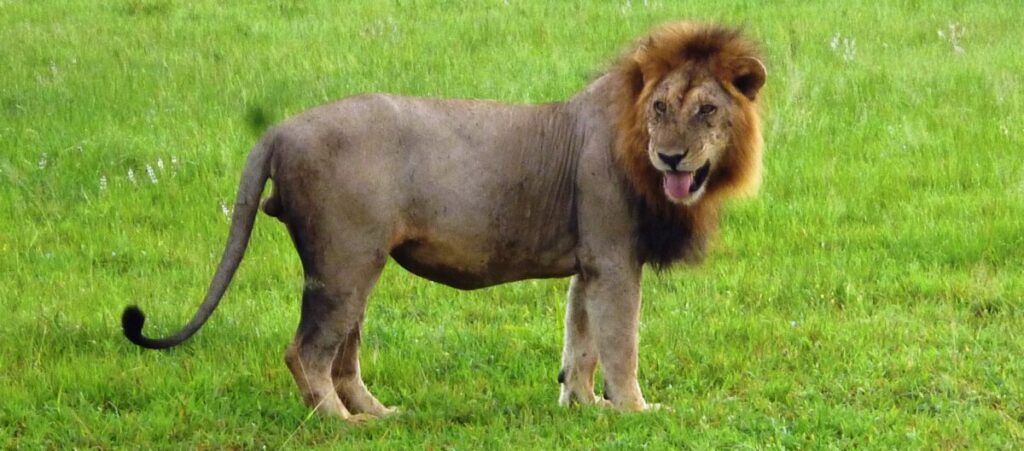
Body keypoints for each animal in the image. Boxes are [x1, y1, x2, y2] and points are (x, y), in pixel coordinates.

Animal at [119, 22, 765, 420]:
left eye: (707, 110)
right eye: (660, 107)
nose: (672, 157)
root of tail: (277, 129)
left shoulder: (591, 263)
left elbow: (581, 341)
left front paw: (584, 406)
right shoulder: (613, 259)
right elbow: (620, 344)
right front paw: (635, 411)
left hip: (356, 265)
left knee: (343, 357)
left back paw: (381, 415)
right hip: (343, 263)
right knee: (305, 352)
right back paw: (341, 425)